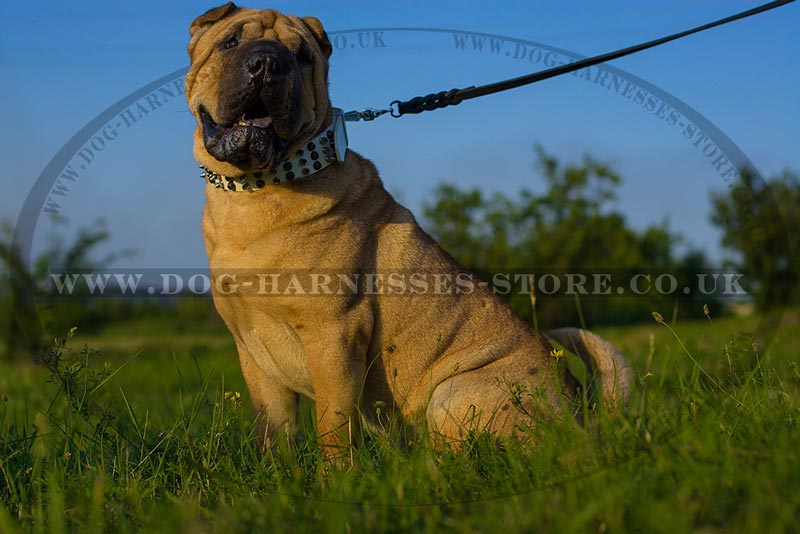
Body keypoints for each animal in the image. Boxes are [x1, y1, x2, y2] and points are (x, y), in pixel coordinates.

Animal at [184, 3, 628, 460]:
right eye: (231, 42)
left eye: (302, 56)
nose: (269, 64)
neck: (257, 190)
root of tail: (583, 416)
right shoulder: (253, 351)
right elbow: (274, 432)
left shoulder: (334, 336)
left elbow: (332, 429)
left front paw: (336, 477)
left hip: (456, 389)